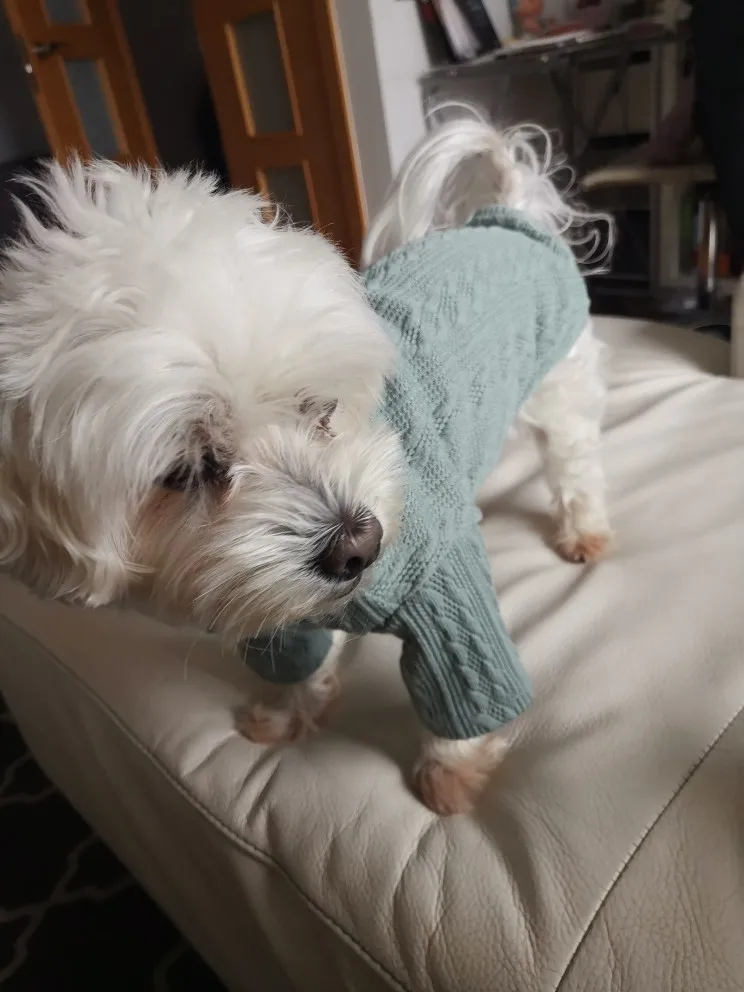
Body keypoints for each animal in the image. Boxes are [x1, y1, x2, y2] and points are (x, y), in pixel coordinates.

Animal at [0, 113, 611, 815]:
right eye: (184, 472)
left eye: (320, 408)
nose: (359, 545)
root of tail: (504, 216)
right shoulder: (273, 608)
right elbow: (296, 656)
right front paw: (291, 711)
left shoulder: (445, 592)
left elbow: (463, 679)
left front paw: (451, 769)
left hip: (562, 388)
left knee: (574, 462)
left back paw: (582, 529)